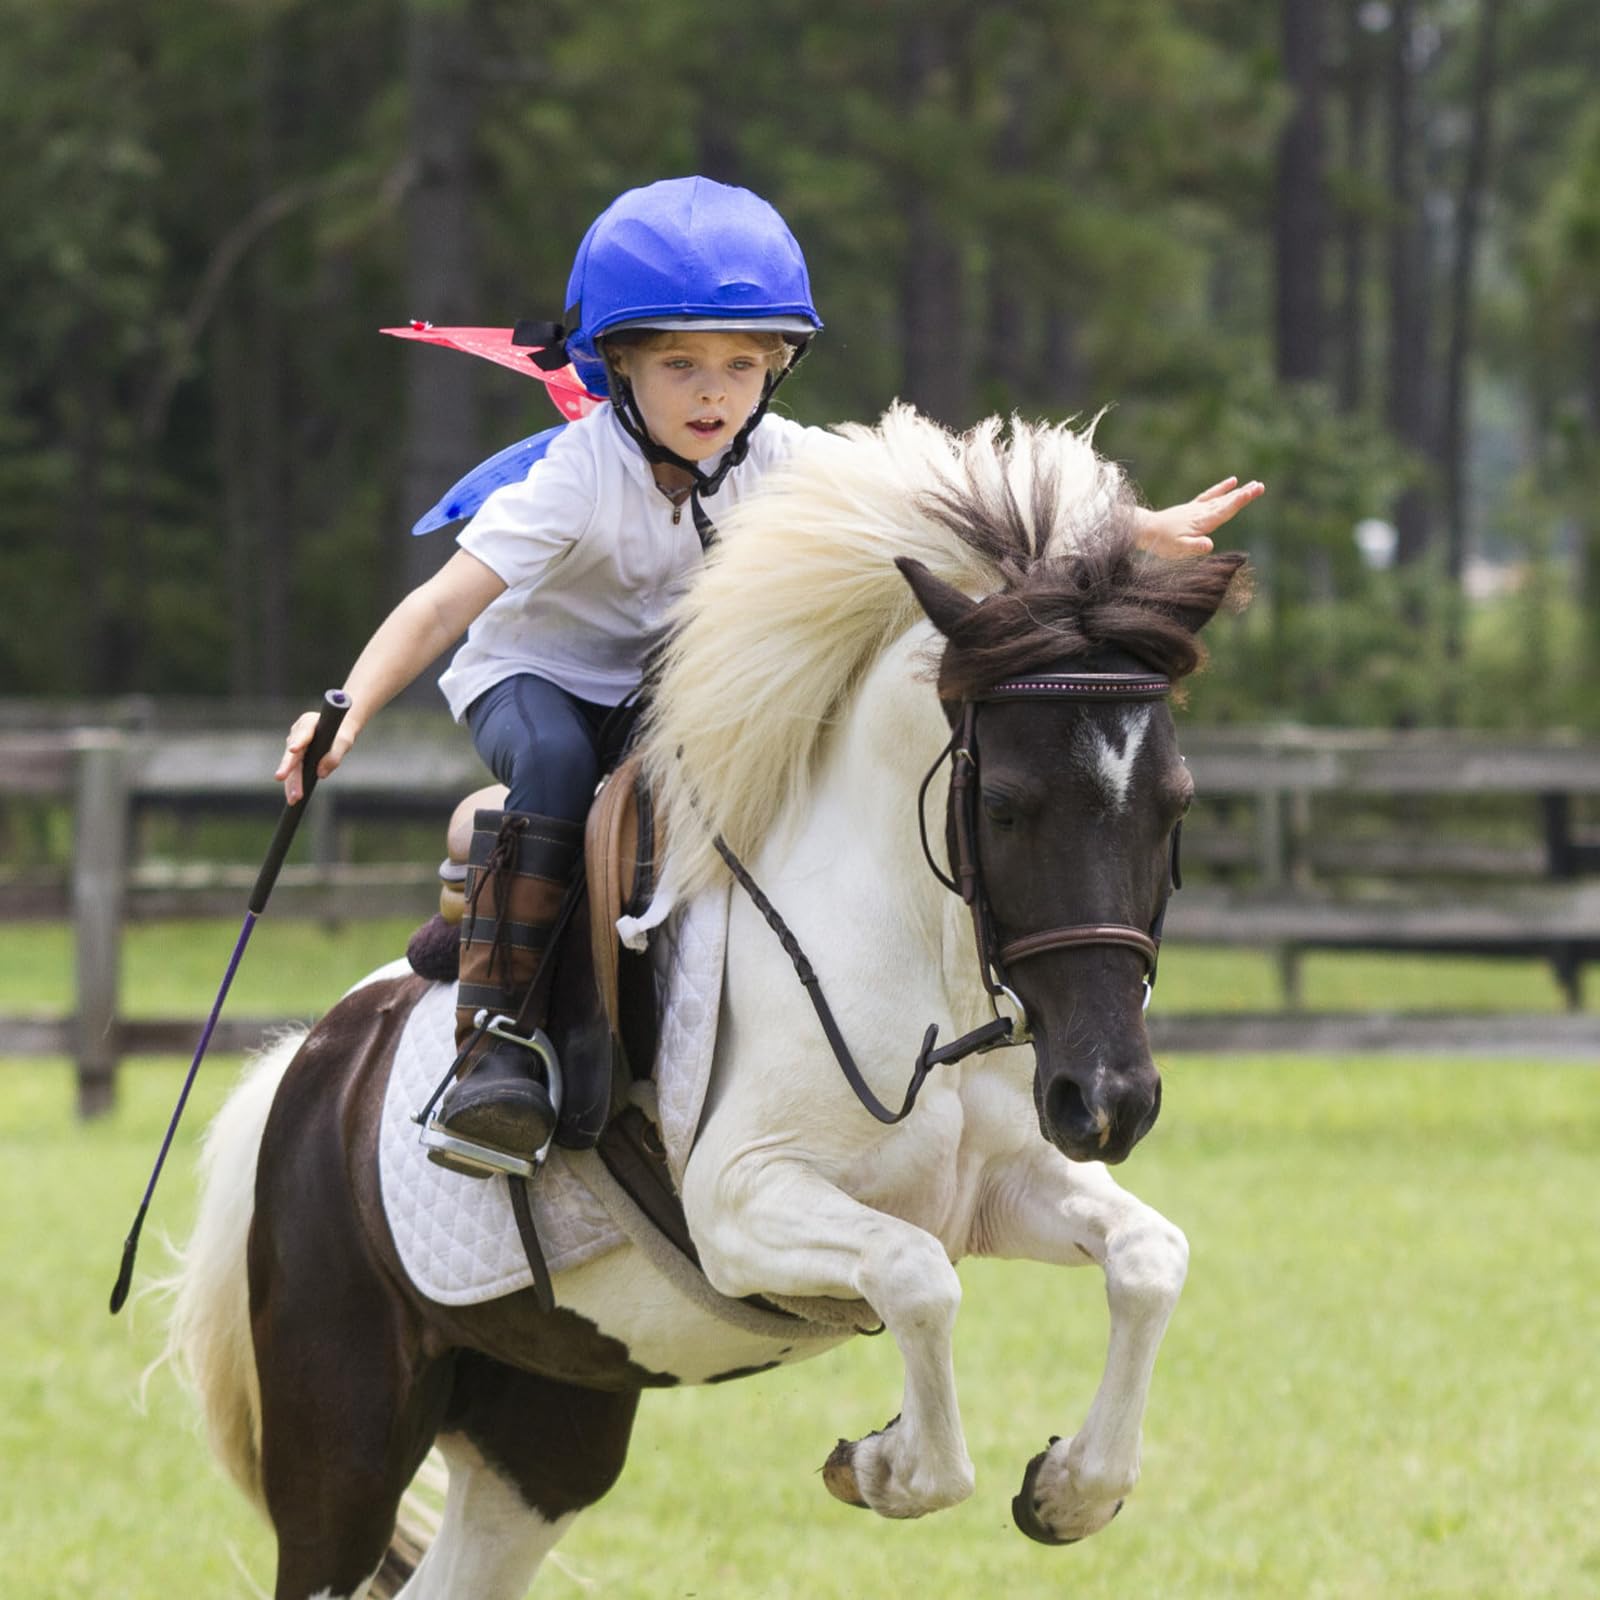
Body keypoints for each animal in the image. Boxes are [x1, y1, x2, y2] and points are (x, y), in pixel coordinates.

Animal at [165, 404, 1247, 1599]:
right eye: (1005, 805)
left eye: (1174, 805)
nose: (1107, 1100)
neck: (918, 970)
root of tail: (310, 1070)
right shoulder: (745, 1205)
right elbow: (918, 1282)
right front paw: (888, 1468)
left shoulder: (996, 1189)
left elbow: (1149, 1259)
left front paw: (1068, 1490)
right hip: (343, 1447)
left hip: (541, 1430)